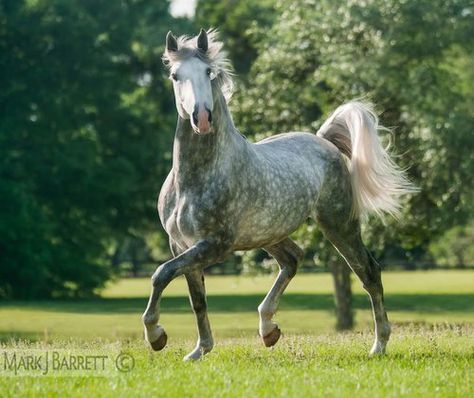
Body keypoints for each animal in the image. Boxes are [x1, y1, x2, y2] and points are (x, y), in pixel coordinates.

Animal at [143, 29, 416, 362]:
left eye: (209, 72)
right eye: (174, 75)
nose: (202, 118)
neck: (194, 180)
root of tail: (324, 141)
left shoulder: (215, 245)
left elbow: (161, 273)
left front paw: (156, 335)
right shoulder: (181, 244)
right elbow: (197, 298)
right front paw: (199, 350)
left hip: (338, 225)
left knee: (369, 272)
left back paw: (379, 345)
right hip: (269, 234)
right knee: (293, 258)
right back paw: (268, 328)